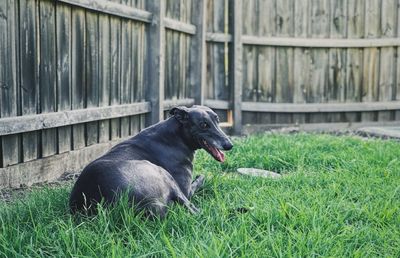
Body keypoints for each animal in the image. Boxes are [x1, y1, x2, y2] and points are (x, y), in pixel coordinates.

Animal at [68, 105, 231, 218]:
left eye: (217, 120)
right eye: (203, 124)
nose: (229, 145)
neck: (176, 135)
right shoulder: (186, 190)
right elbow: (201, 178)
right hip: (163, 175)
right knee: (193, 209)